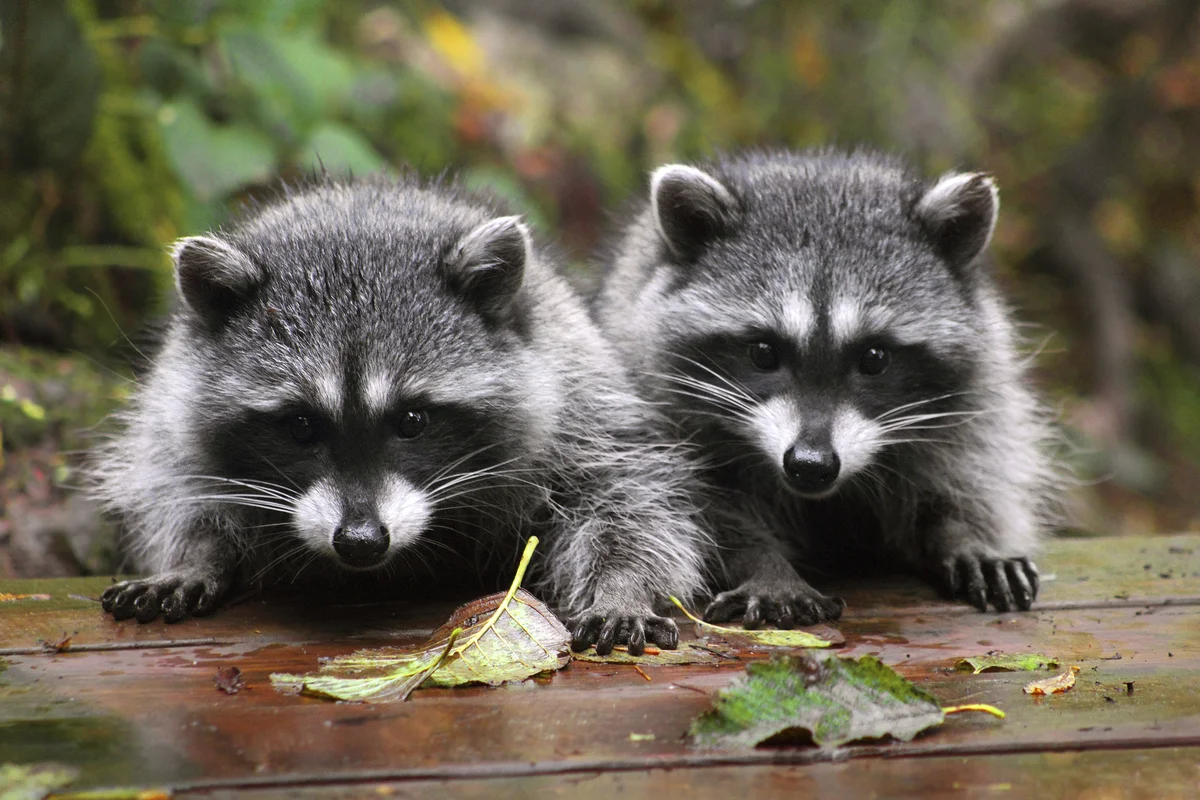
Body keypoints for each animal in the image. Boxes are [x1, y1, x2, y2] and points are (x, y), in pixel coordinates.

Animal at [93, 172, 715, 652]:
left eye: (413, 421)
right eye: (301, 426)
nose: (361, 541)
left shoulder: (576, 390)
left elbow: (625, 495)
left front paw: (622, 585)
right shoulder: (177, 394)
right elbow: (178, 481)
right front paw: (193, 555)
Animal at [597, 148, 1060, 623]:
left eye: (874, 358)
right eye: (763, 353)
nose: (810, 464)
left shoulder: (972, 405)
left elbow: (955, 486)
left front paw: (964, 535)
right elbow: (706, 517)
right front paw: (766, 564)